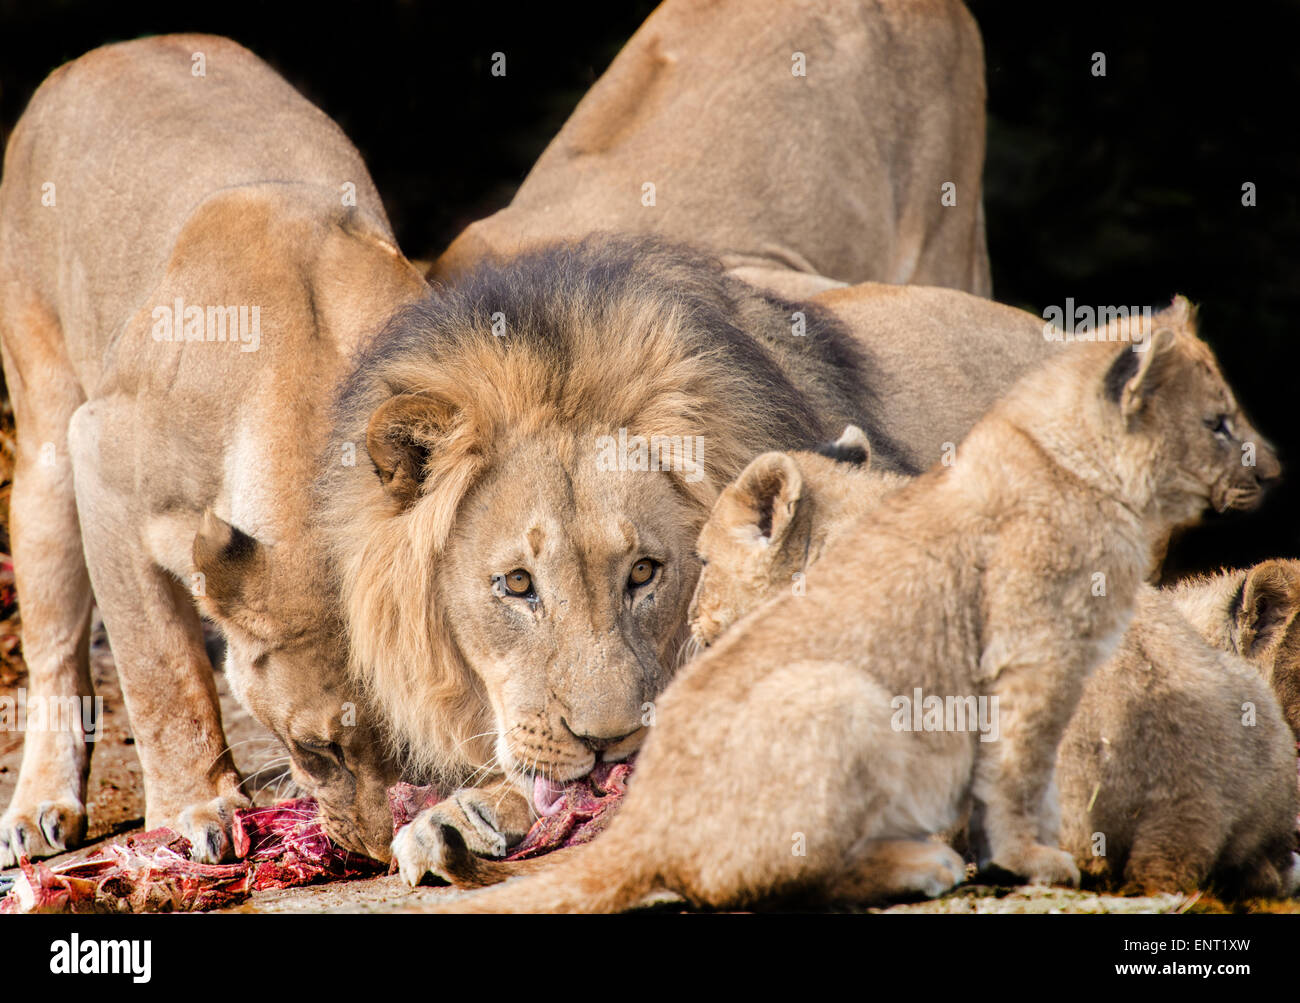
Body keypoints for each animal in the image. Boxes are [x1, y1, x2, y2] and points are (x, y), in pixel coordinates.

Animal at [0, 35, 427, 864]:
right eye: (317, 749)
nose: (374, 854)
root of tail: (101, 52)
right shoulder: (104, 465)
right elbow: (160, 671)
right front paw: (193, 808)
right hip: (44, 445)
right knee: (55, 647)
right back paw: (39, 806)